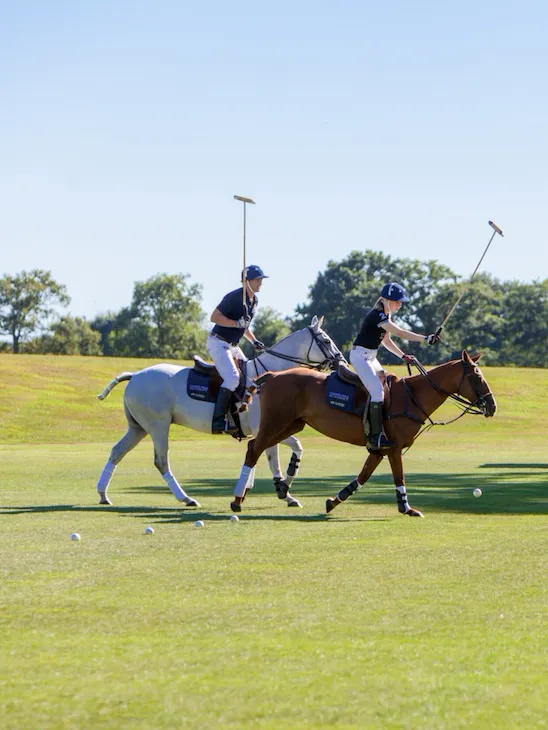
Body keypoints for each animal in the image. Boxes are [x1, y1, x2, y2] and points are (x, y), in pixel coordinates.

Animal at [95, 316, 345, 507]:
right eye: (326, 340)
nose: (341, 362)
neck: (273, 375)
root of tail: (134, 376)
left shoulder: (266, 431)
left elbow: (273, 456)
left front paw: (275, 492)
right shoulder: (266, 429)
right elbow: (282, 454)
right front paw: (283, 491)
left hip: (138, 427)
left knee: (117, 452)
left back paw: (103, 494)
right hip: (158, 426)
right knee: (161, 461)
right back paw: (186, 498)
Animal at [231, 350, 497, 516]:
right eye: (476, 376)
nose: (492, 406)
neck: (413, 396)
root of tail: (273, 375)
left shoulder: (379, 449)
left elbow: (363, 476)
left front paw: (333, 501)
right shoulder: (394, 447)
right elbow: (399, 477)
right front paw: (407, 509)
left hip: (291, 424)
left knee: (255, 446)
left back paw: (266, 493)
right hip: (276, 422)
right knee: (255, 449)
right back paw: (237, 500)